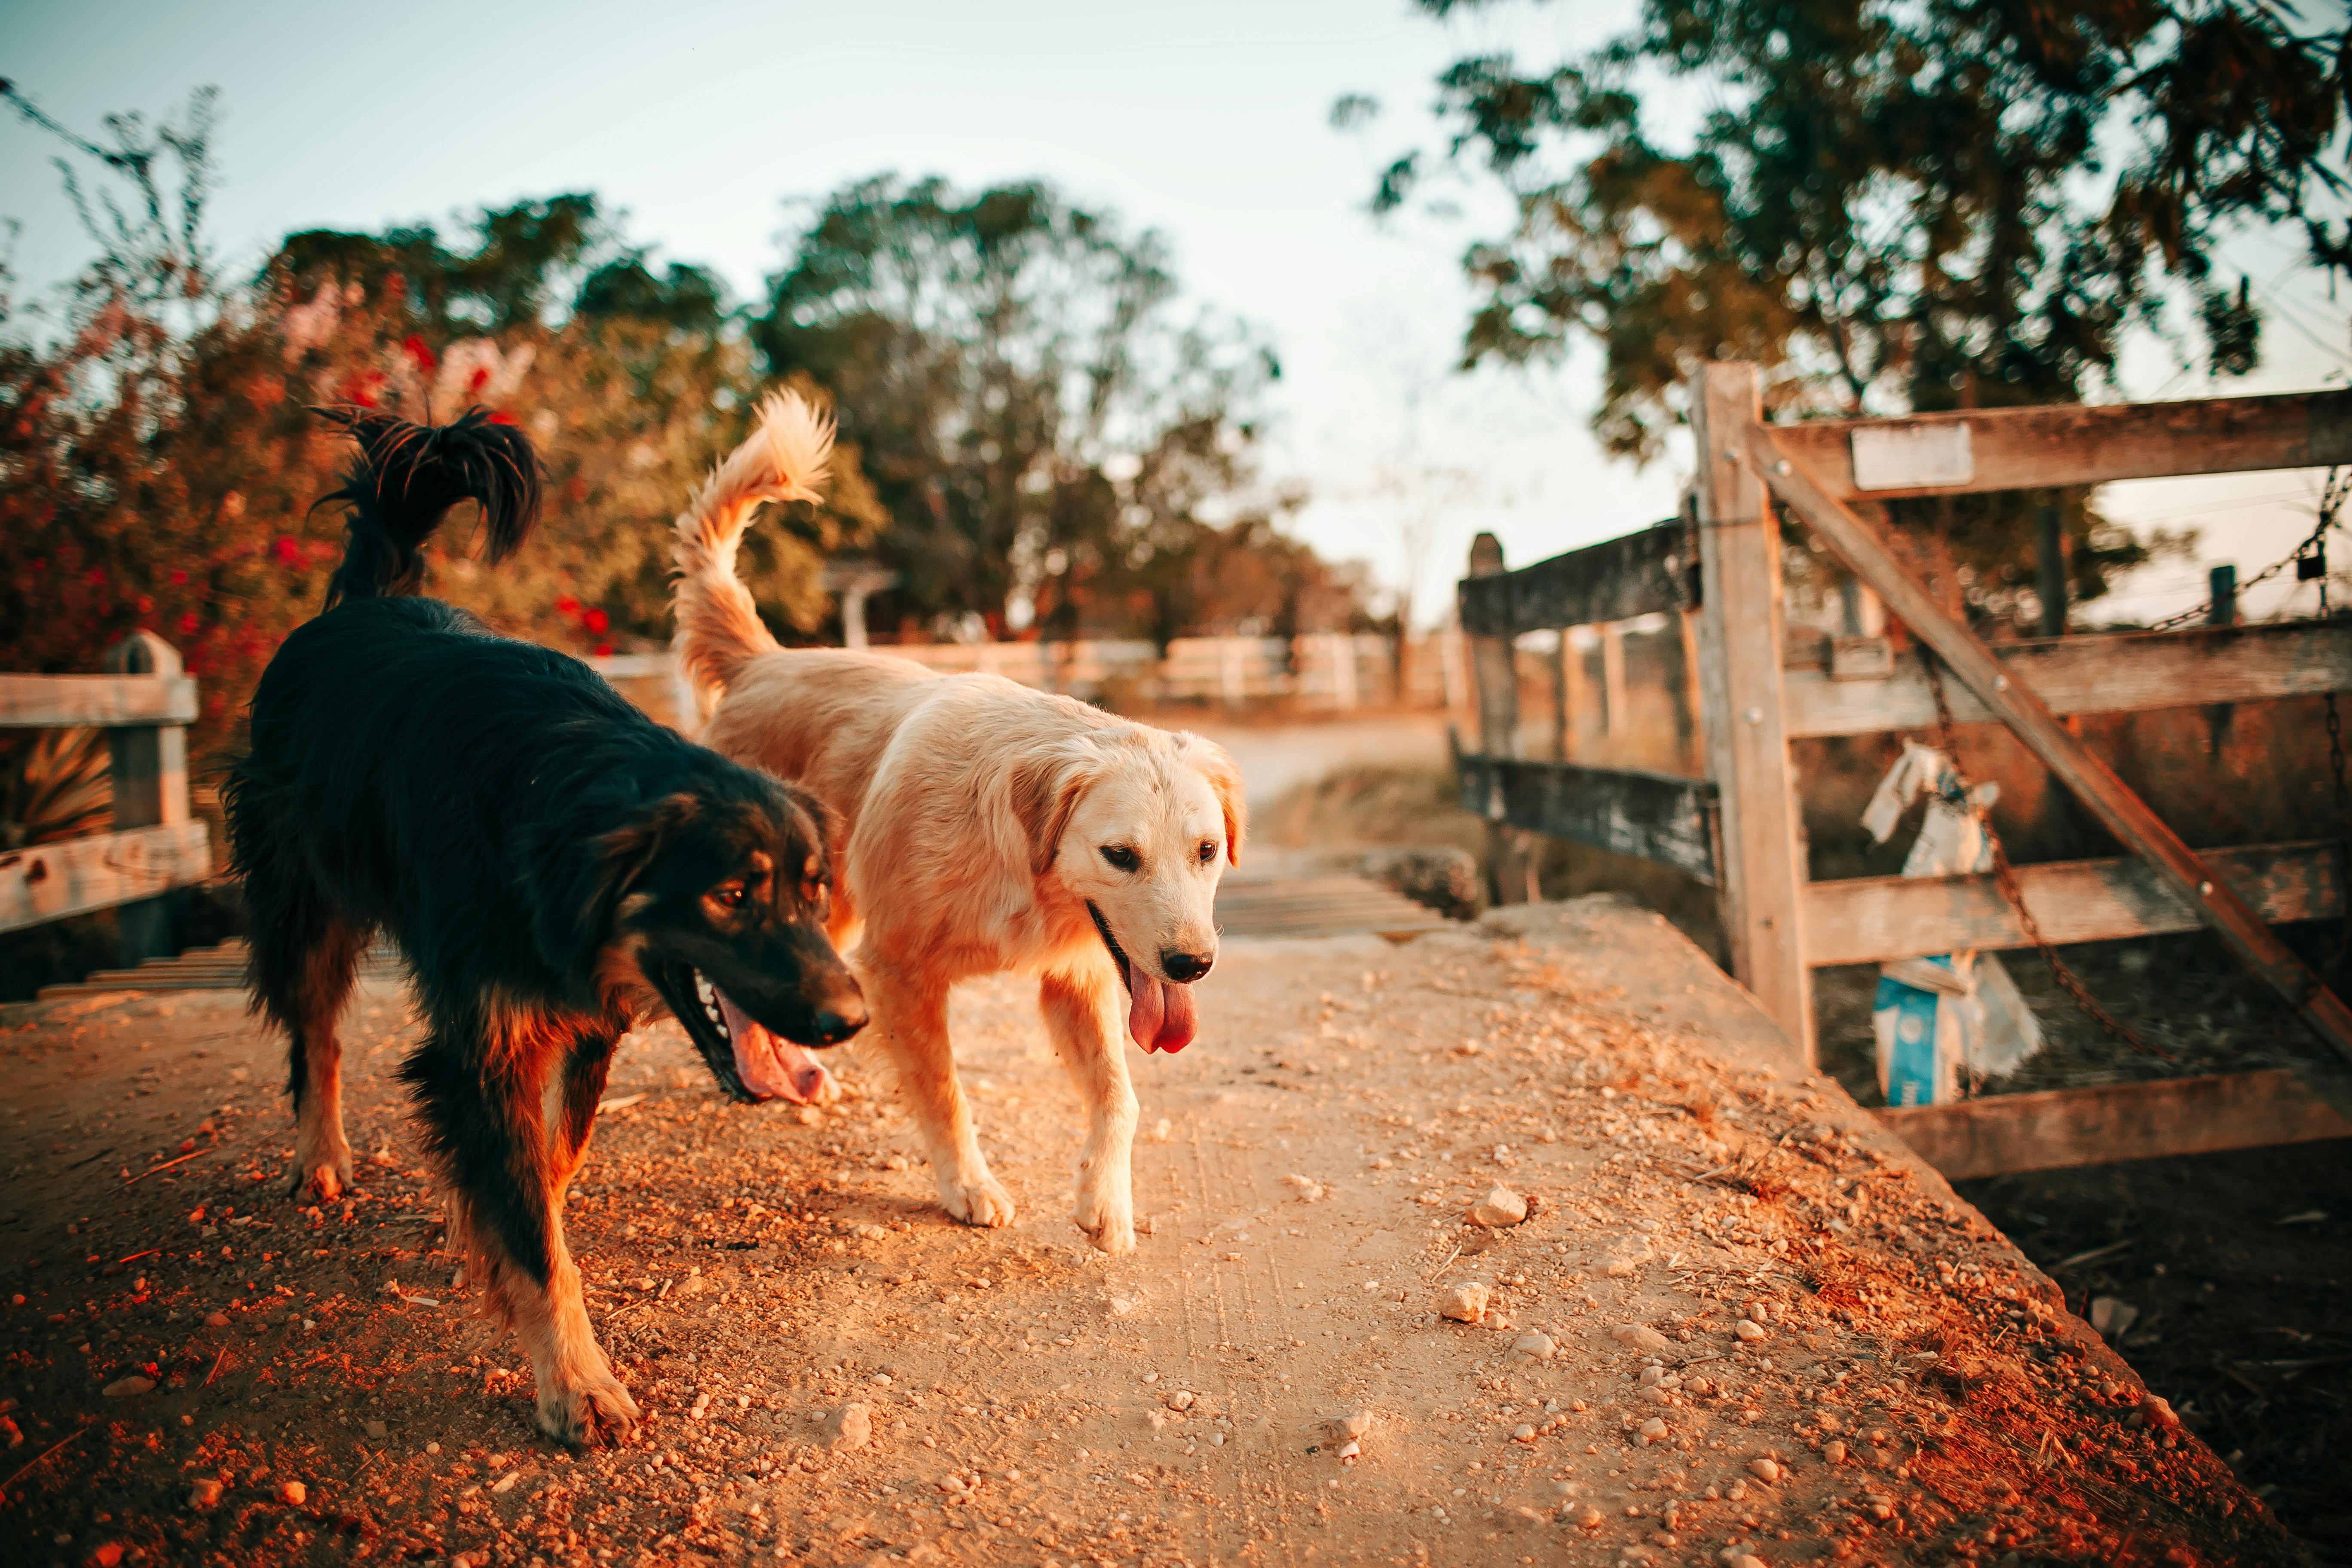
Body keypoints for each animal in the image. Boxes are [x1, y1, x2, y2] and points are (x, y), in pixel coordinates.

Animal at [218, 409, 865, 1448]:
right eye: (731, 895)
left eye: (814, 892)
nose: (851, 1020)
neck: (558, 808)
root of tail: (363, 602)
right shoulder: (482, 1040)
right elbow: (528, 1223)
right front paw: (575, 1380)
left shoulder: (584, 1019)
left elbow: (548, 1170)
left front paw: (494, 1231)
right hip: (303, 902)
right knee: (314, 1034)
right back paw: (319, 1157)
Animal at [668, 392, 1251, 1250]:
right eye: (1120, 855)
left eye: (1207, 851)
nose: (1192, 966)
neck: (1016, 866)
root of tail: (762, 660)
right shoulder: (898, 970)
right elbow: (944, 1091)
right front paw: (968, 1185)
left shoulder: (1075, 977)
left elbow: (1121, 1096)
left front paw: (1104, 1200)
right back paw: (763, 1071)